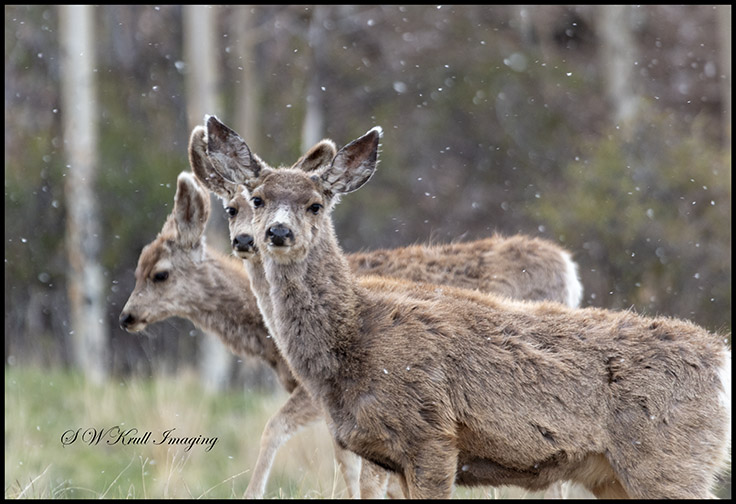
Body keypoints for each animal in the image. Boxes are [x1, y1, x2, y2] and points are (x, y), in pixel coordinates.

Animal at [201, 114, 731, 499]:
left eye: (315, 204)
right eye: (256, 198)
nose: (276, 232)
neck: (355, 338)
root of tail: (721, 358)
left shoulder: (433, 437)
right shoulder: (383, 454)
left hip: (668, 462)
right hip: (615, 475)